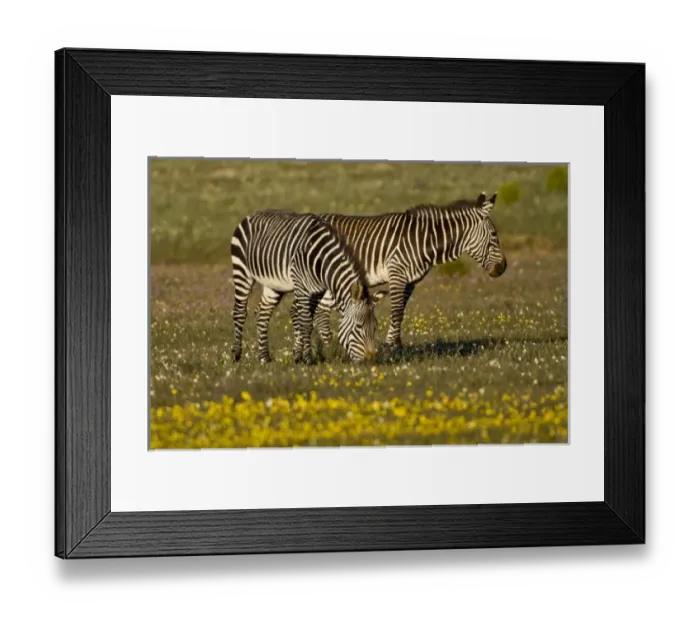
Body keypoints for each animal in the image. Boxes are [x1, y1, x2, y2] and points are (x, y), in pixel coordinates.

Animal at [229, 210, 387, 365]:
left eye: (375, 328)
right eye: (359, 326)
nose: (369, 361)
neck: (322, 260)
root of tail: (250, 216)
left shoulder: (318, 291)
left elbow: (309, 322)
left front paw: (300, 357)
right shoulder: (301, 286)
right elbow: (305, 322)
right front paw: (307, 359)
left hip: (273, 285)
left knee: (263, 314)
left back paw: (264, 357)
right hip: (242, 271)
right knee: (239, 312)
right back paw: (236, 355)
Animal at [312, 191, 507, 349]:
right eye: (494, 234)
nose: (503, 267)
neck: (423, 239)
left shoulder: (411, 280)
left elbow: (402, 311)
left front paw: (396, 343)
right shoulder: (397, 273)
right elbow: (397, 311)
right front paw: (391, 346)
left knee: (321, 310)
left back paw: (330, 346)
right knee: (321, 310)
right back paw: (331, 346)